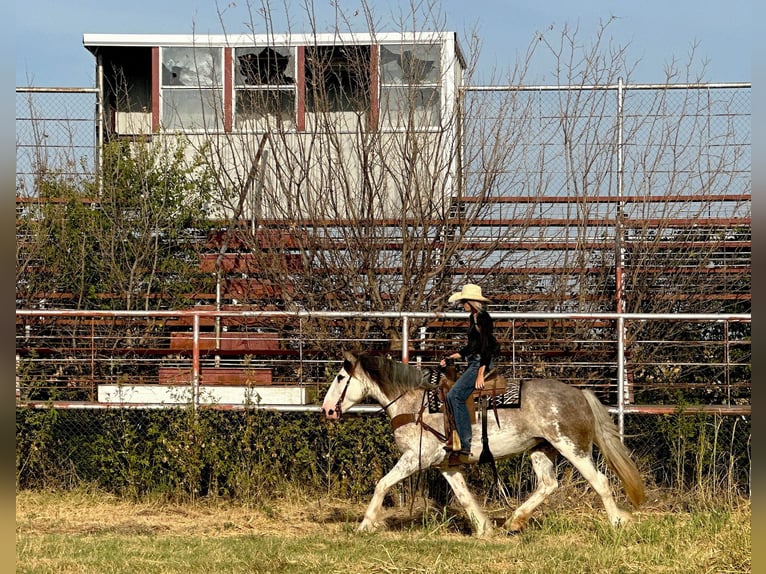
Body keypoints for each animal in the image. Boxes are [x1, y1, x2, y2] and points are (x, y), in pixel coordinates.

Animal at [320, 352, 644, 540]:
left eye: (340, 377)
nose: (327, 410)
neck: (414, 404)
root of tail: (579, 394)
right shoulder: (445, 464)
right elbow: (464, 497)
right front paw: (483, 528)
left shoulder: (416, 458)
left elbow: (382, 484)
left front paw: (365, 525)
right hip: (542, 449)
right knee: (548, 484)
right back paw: (514, 521)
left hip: (572, 447)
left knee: (600, 481)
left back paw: (618, 521)